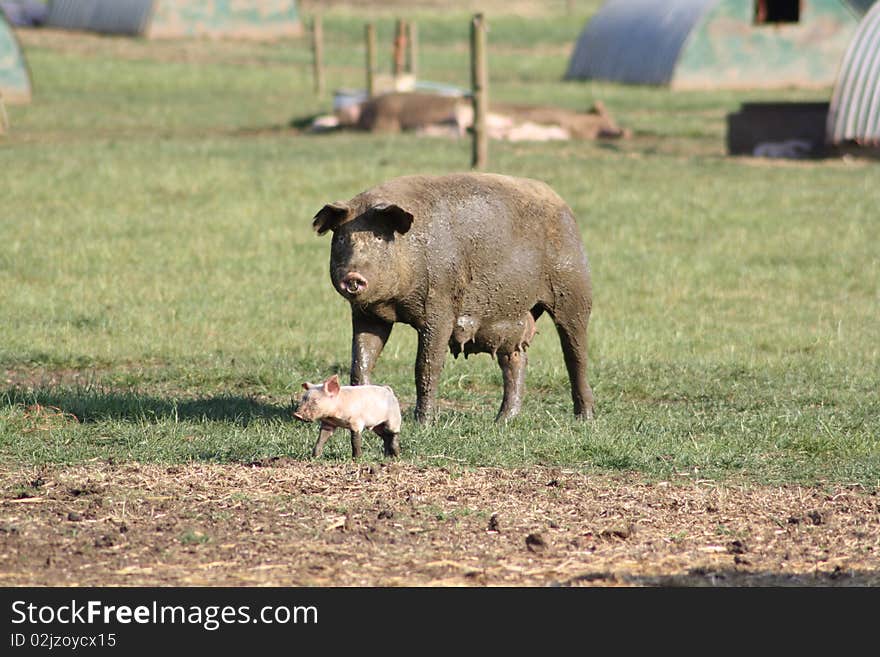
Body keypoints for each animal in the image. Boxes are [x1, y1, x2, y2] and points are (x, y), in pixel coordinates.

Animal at [312, 172, 596, 422]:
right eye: (341, 238)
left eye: (380, 238)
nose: (353, 276)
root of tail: (562, 203)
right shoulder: (367, 314)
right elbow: (362, 359)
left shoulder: (440, 307)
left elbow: (426, 365)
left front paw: (423, 423)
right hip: (514, 313)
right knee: (515, 359)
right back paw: (502, 421)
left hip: (574, 291)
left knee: (576, 354)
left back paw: (585, 419)